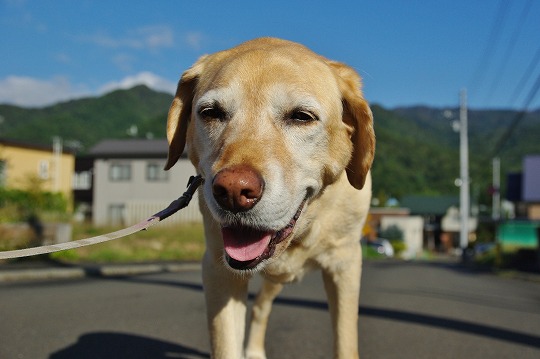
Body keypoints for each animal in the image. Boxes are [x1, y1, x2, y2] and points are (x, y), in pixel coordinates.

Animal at [165, 38, 376, 359]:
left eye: (302, 116)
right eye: (211, 112)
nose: (233, 191)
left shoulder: (345, 264)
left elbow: (345, 341)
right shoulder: (218, 269)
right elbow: (226, 344)